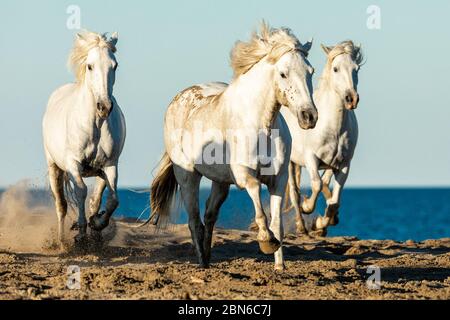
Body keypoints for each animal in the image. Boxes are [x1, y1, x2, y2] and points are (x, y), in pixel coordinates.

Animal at [41, 31, 125, 248]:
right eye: (90, 66)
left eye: (115, 65)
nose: (104, 107)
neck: (94, 125)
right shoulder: (73, 165)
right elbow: (80, 192)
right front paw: (80, 234)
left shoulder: (110, 165)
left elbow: (112, 200)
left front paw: (96, 224)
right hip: (54, 168)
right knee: (61, 205)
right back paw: (62, 242)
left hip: (99, 171)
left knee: (95, 200)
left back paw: (96, 235)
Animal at [150, 23, 316, 270]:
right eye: (283, 73)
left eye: (310, 71)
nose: (309, 116)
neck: (262, 126)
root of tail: (178, 98)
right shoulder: (244, 174)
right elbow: (258, 199)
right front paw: (266, 241)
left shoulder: (279, 178)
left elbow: (277, 224)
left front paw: (280, 265)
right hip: (188, 176)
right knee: (194, 221)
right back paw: (202, 263)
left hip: (220, 182)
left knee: (209, 216)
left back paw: (208, 258)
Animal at [284, 40, 364, 235]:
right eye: (335, 69)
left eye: (356, 68)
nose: (351, 99)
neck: (333, 128)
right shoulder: (311, 159)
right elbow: (317, 185)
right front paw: (307, 207)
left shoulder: (343, 165)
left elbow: (334, 201)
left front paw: (320, 223)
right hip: (290, 162)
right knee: (294, 192)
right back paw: (301, 225)